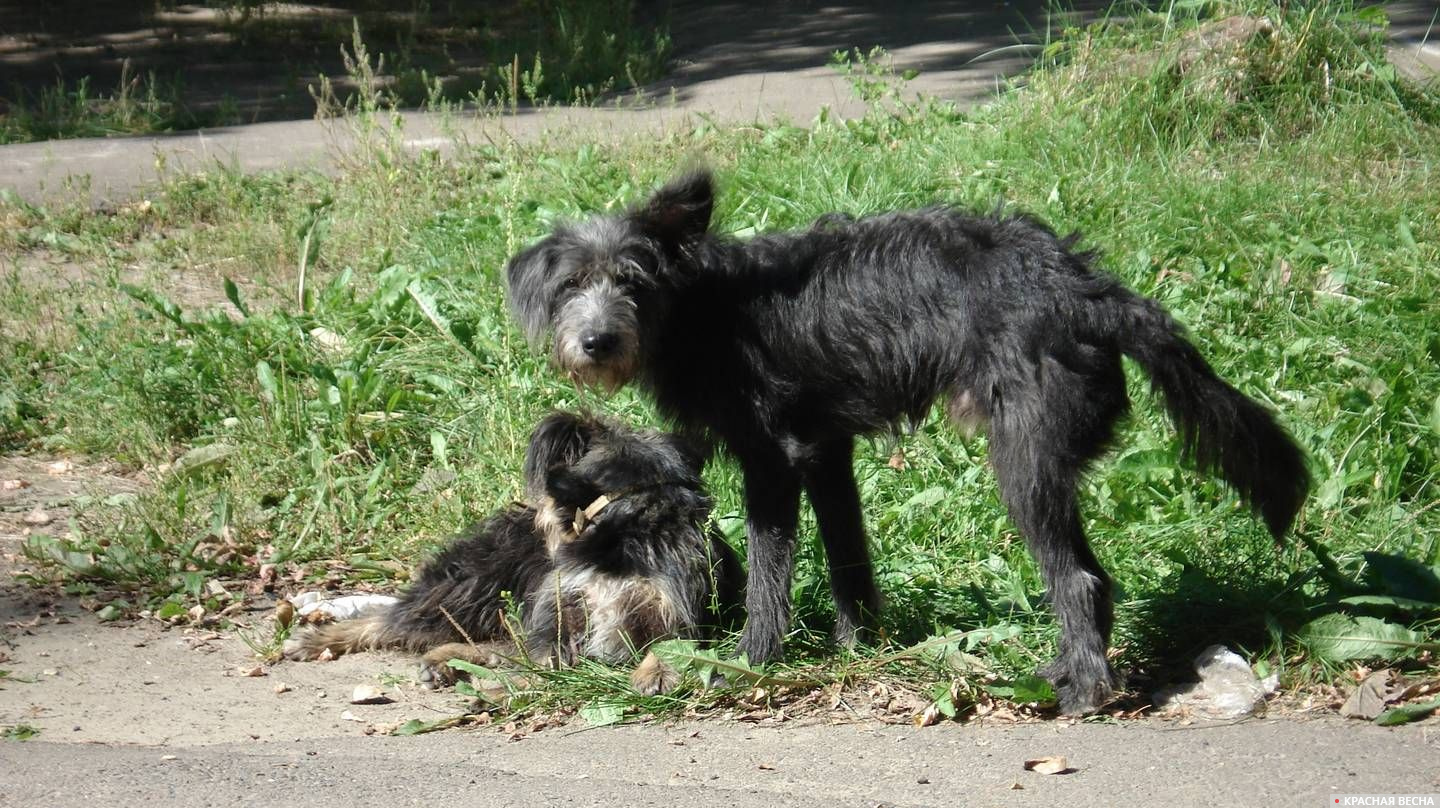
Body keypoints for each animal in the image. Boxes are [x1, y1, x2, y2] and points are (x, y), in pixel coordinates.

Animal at [288, 411, 748, 691]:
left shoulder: (678, 612)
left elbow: (669, 645)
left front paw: (657, 671)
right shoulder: (558, 618)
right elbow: (539, 657)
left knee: (497, 643)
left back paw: (446, 660)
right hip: (475, 584)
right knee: (393, 620)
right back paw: (320, 639)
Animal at [501, 171, 1313, 711]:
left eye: (632, 280)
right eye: (570, 285)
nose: (597, 342)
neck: (702, 309)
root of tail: (1088, 290)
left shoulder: (772, 462)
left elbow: (768, 574)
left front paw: (751, 661)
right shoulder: (825, 453)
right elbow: (847, 556)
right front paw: (857, 648)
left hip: (1023, 462)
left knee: (1078, 579)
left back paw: (1086, 691)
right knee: (1089, 577)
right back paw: (1062, 671)